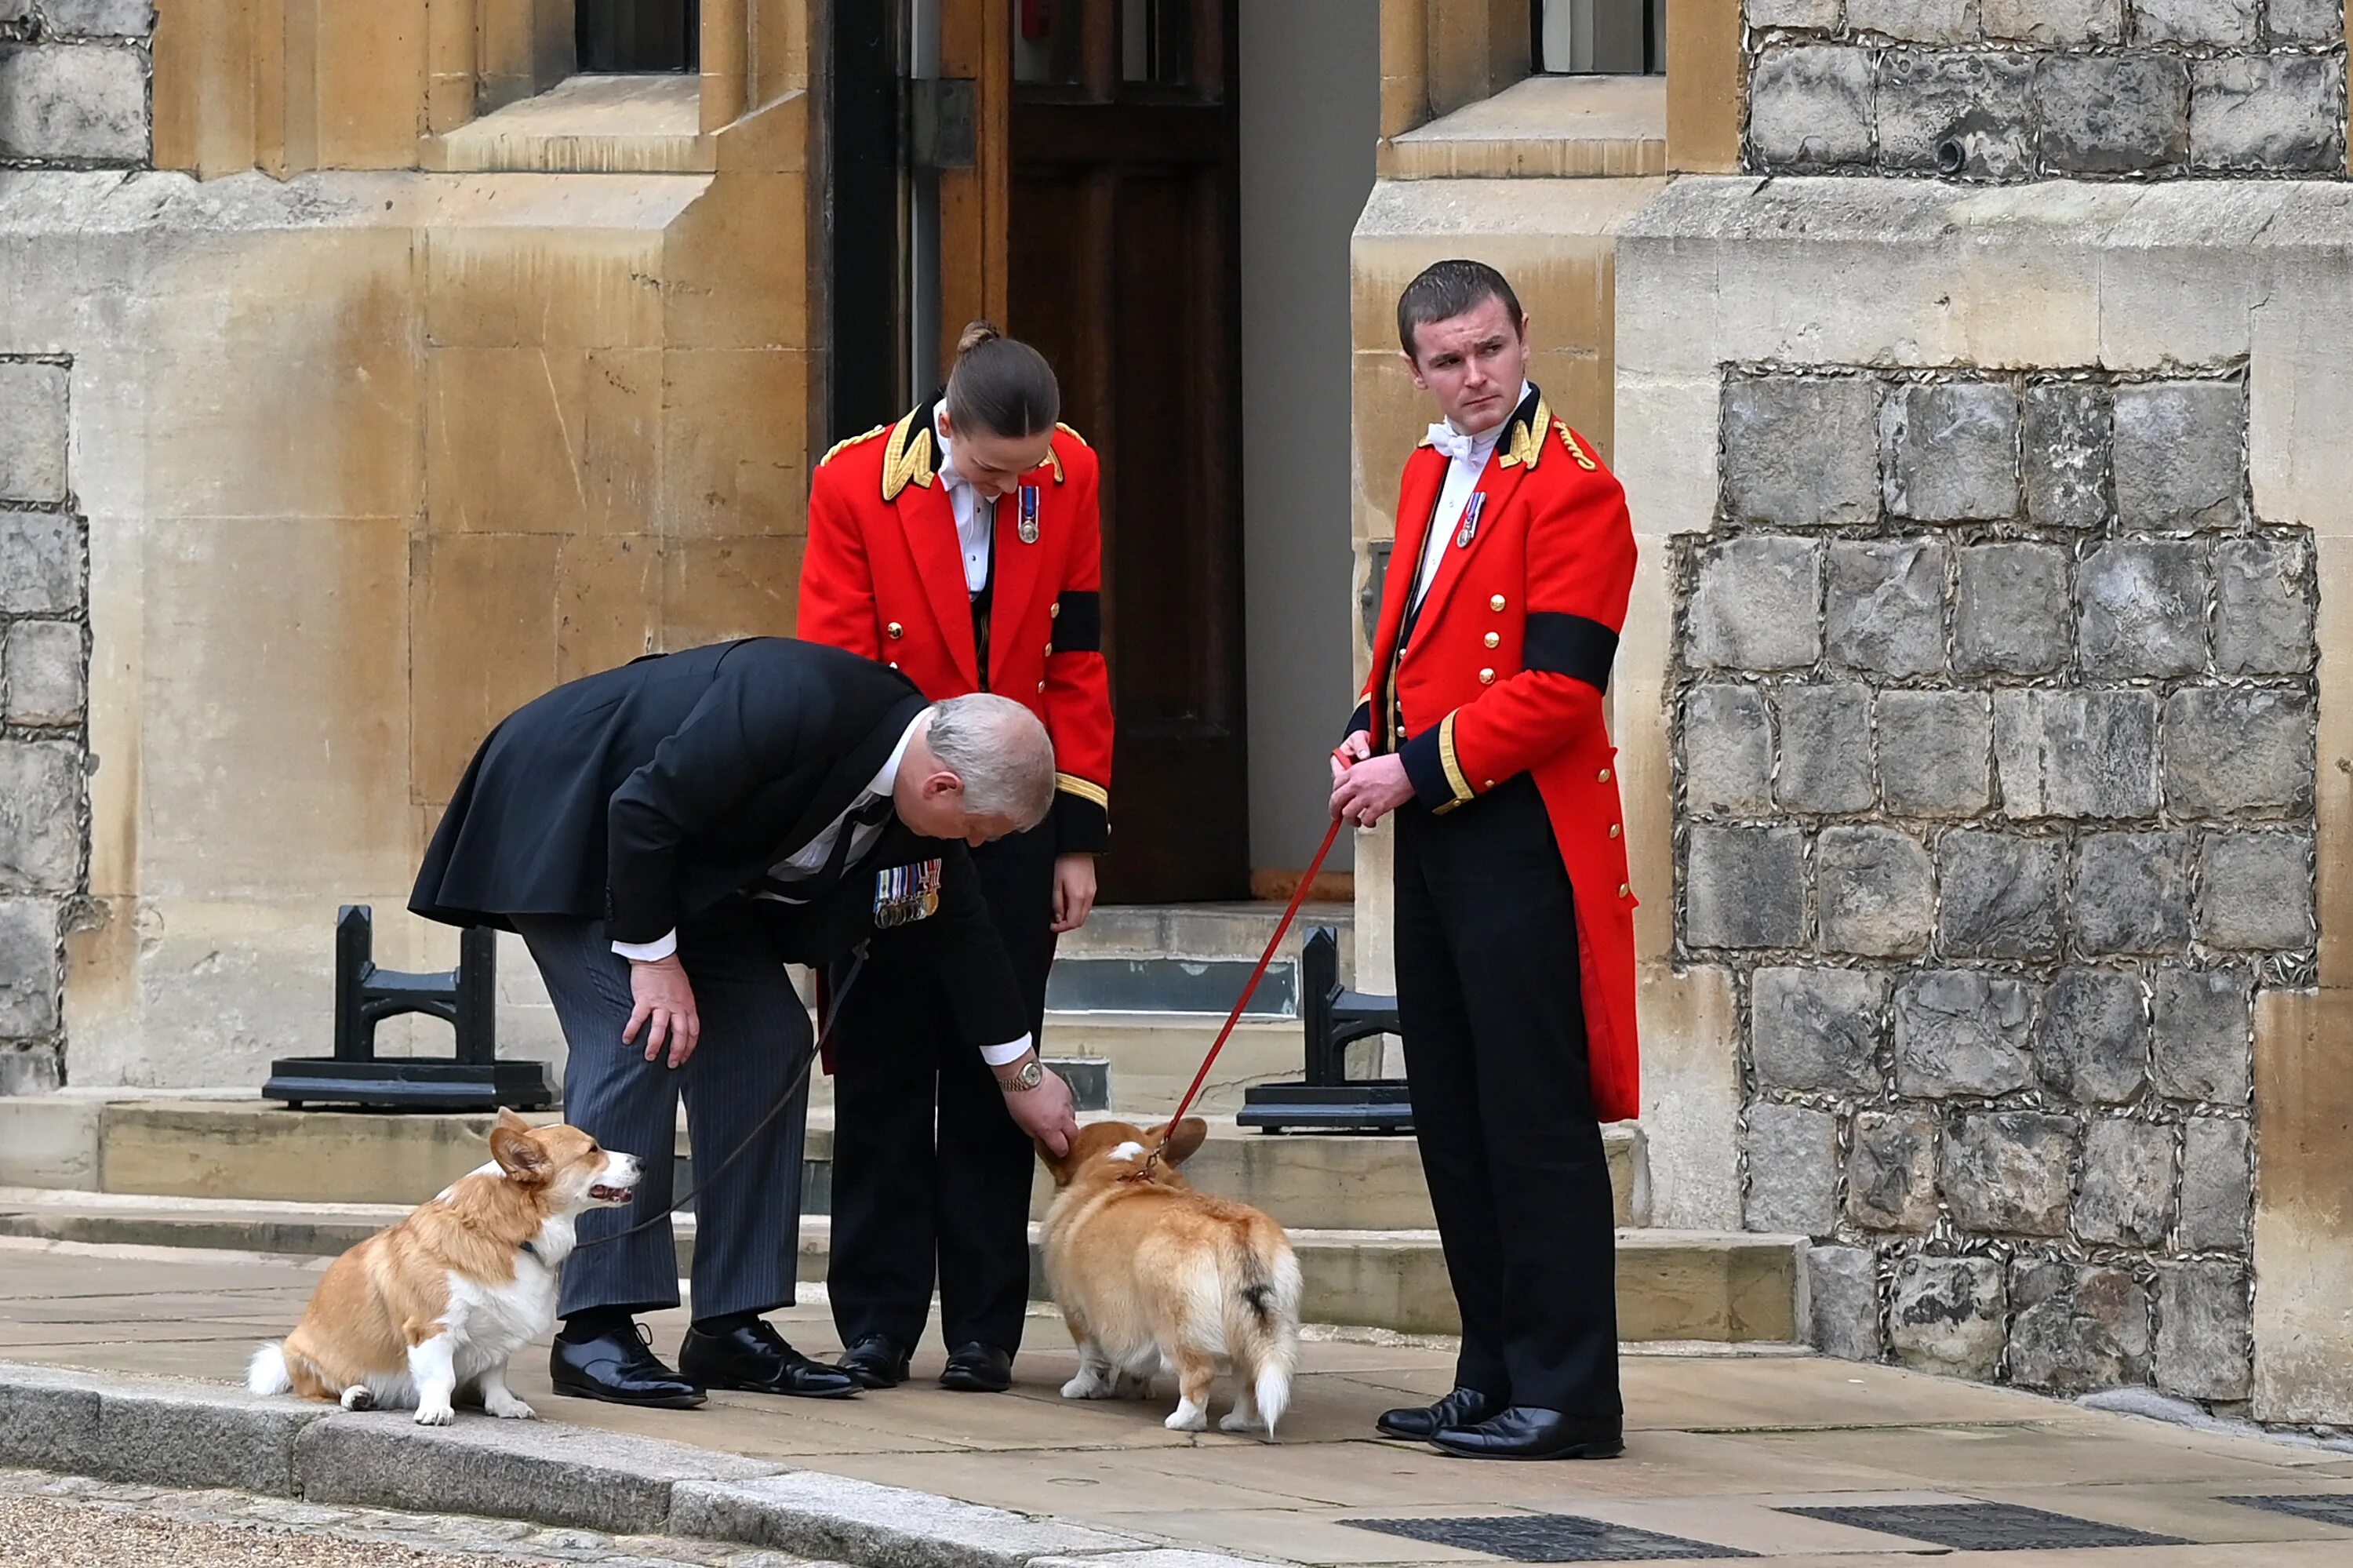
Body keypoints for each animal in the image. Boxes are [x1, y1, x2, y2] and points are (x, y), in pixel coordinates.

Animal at [243, 1106, 640, 1421]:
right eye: (593, 1150)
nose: (643, 1162)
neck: (504, 1233)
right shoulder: (433, 1327)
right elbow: (440, 1376)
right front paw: (436, 1410)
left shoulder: (498, 1331)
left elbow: (496, 1374)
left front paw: (504, 1406)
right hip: (304, 1355)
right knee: (324, 1388)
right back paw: (356, 1395)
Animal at [1040, 1111, 1308, 1431]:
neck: (1124, 1168)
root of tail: (1236, 1233)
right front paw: (1133, 1390)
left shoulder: (1079, 1315)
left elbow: (1092, 1360)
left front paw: (1082, 1389)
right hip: (1257, 1329)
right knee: (1249, 1379)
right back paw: (1237, 1422)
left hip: (1176, 1327)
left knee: (1199, 1374)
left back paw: (1183, 1420)